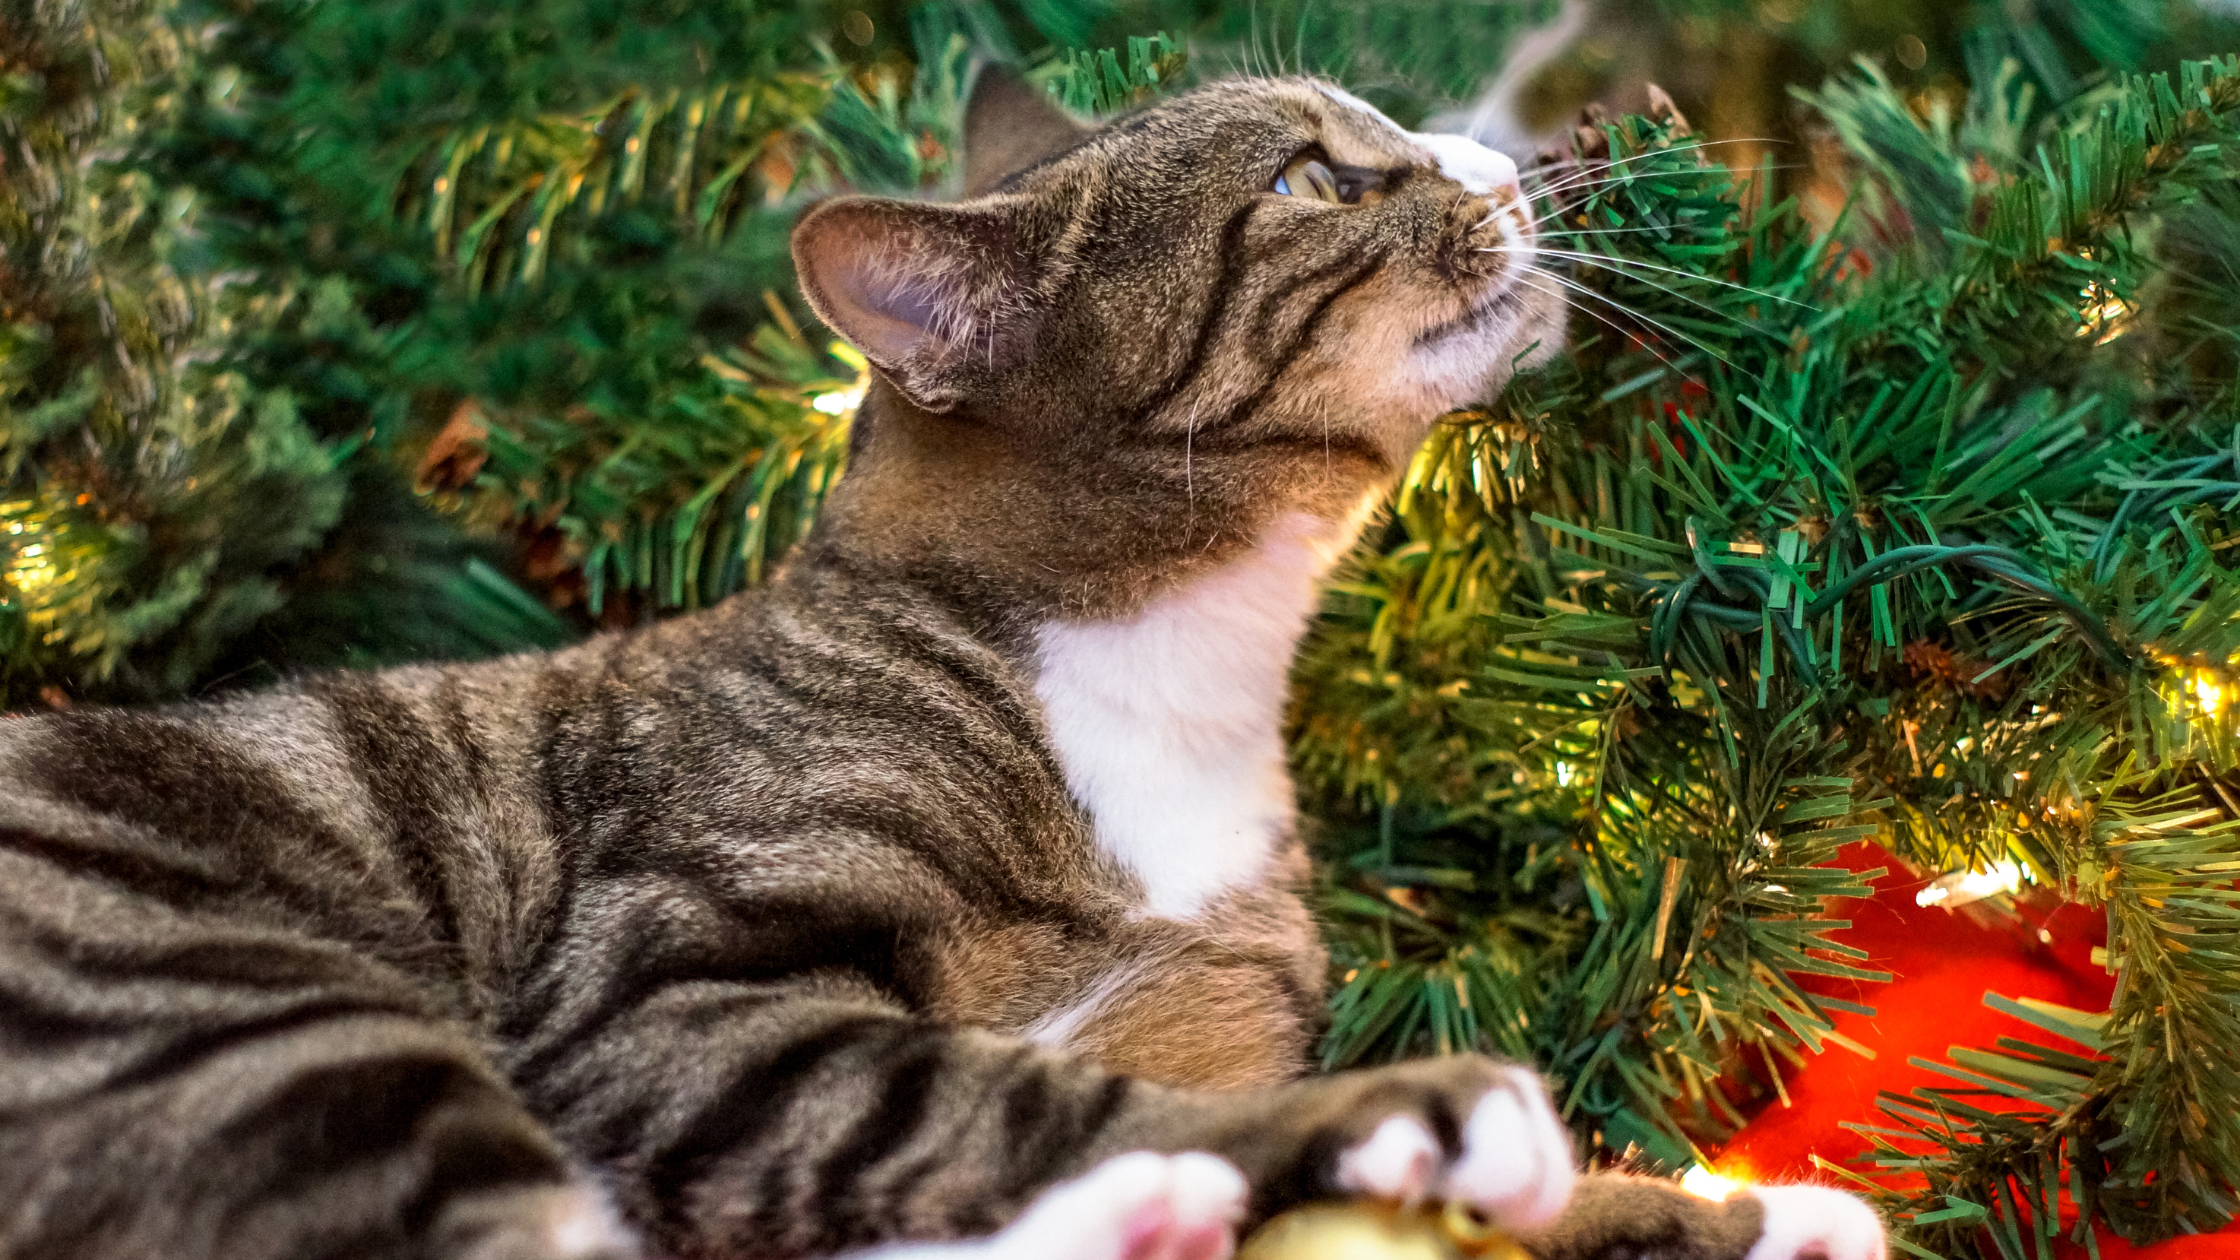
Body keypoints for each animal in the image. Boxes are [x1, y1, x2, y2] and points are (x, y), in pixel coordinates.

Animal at [0, 66, 1890, 1255]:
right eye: (1306, 178)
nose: (1502, 161)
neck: (1175, 685)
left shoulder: (1222, 1012)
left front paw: (1710, 1211)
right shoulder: (654, 997)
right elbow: (1013, 1099)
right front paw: (1453, 1135)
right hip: (244, 1005)